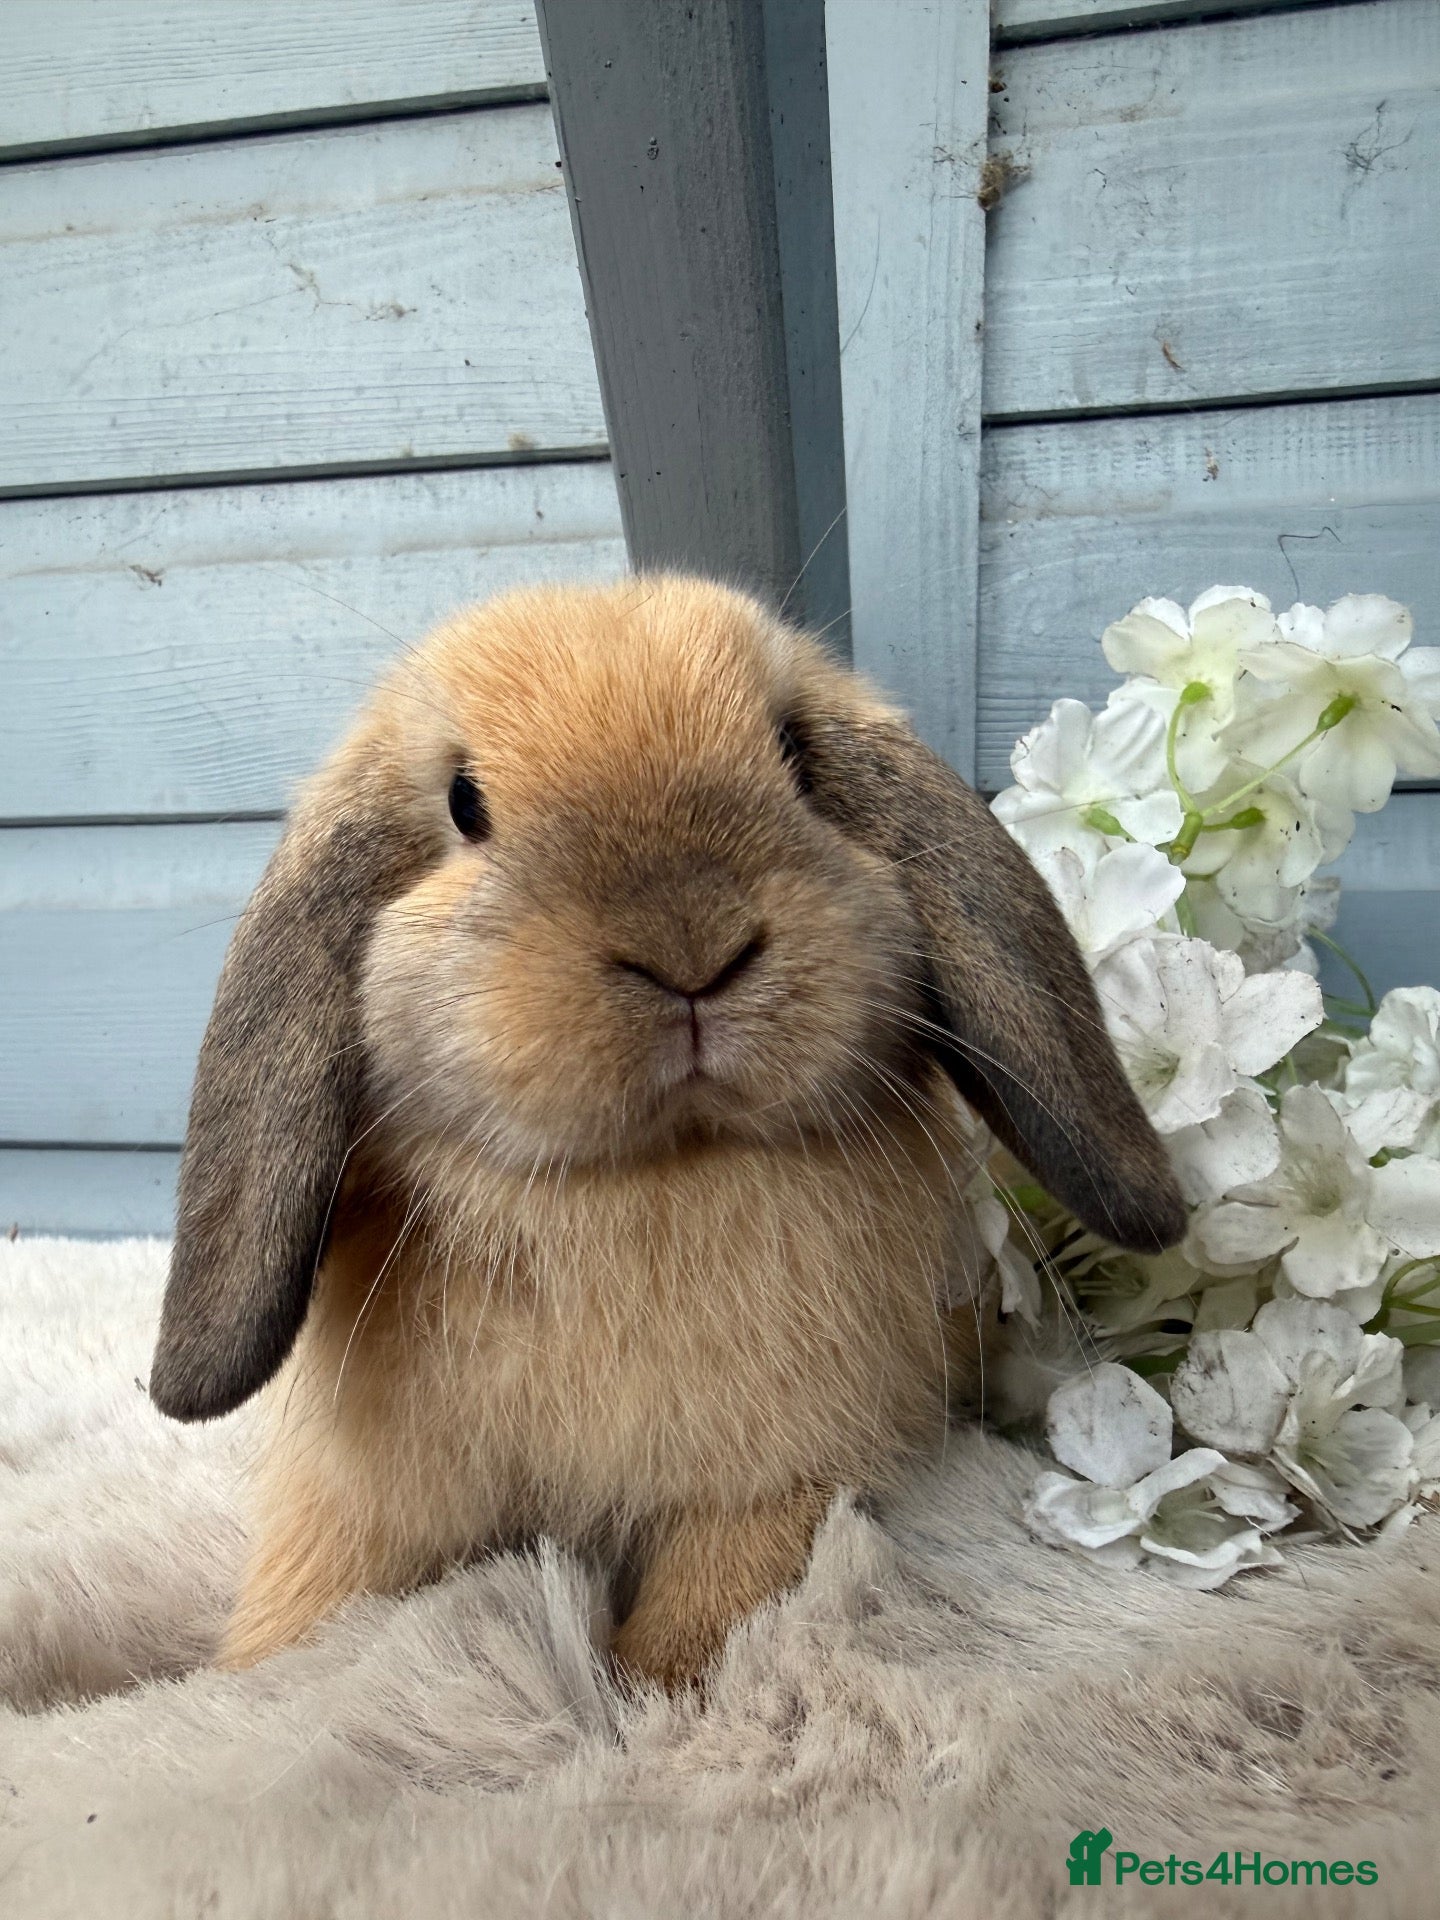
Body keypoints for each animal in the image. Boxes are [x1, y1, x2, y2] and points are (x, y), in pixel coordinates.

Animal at [149, 575, 1186, 1689]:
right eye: (464, 803)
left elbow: (709, 1607)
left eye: (796, 758)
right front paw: (250, 1671)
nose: (691, 943)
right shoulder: (363, 1507)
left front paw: (643, 1681)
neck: (646, 1181)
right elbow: (311, 1614)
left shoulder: (776, 1481)